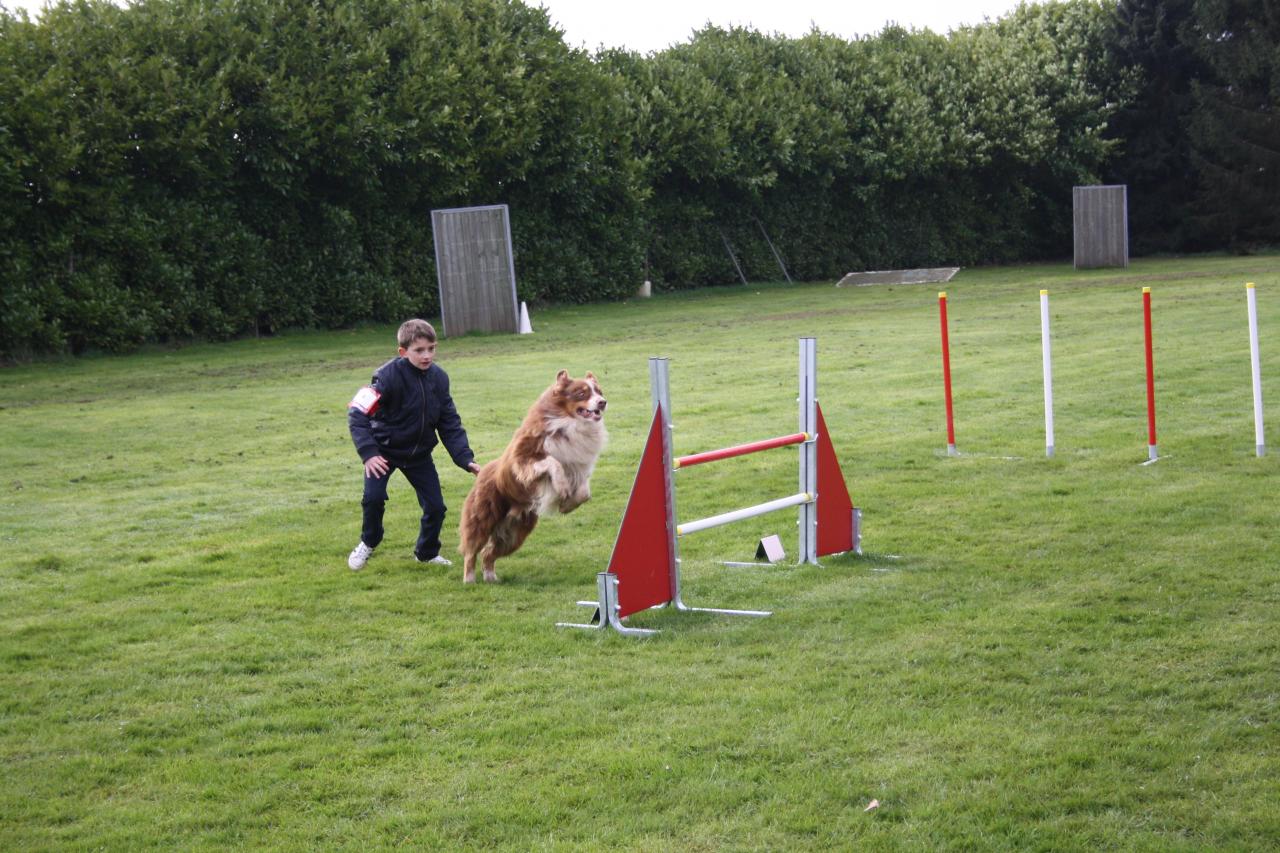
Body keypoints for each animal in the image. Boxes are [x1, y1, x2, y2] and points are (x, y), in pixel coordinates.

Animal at [458, 368, 606, 581]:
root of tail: (481, 471)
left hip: (516, 532)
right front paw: (562, 488)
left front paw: (566, 505)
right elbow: (553, 462)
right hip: (483, 518)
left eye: (599, 391)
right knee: (472, 550)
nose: (603, 402)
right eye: (582, 393)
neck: (568, 424)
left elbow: (585, 492)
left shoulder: (579, 468)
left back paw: (491, 578)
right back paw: (469, 579)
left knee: (488, 553)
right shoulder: (522, 459)